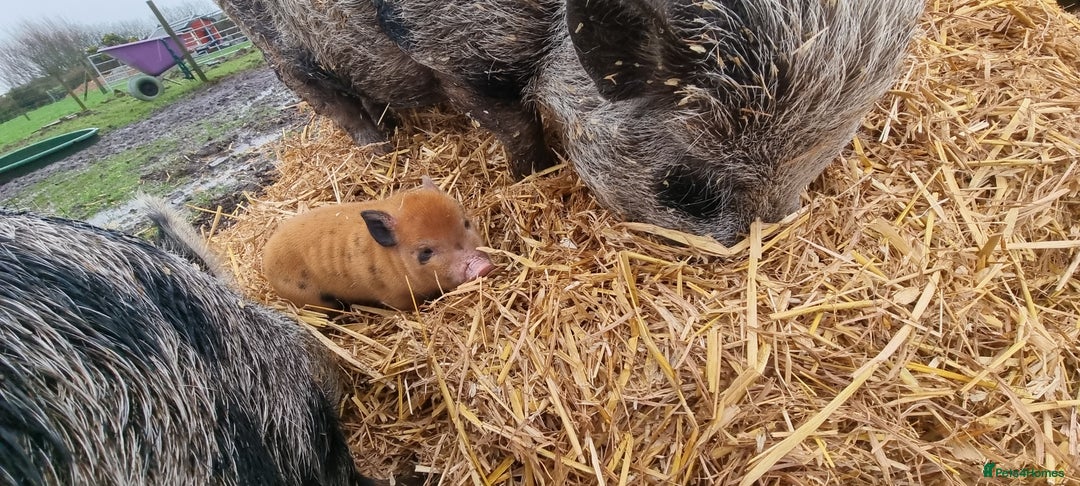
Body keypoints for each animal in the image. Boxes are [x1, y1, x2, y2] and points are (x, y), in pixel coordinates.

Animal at [216, 0, 923, 244]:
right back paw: (379, 154)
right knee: (326, 96)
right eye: (687, 187)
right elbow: (513, 123)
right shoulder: (459, 52)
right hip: (275, 48)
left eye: (808, 180)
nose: (749, 243)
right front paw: (526, 179)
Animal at [262, 177, 494, 310]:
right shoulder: (392, 296)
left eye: (466, 223)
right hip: (310, 298)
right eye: (426, 252)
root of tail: (265, 260)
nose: (482, 266)